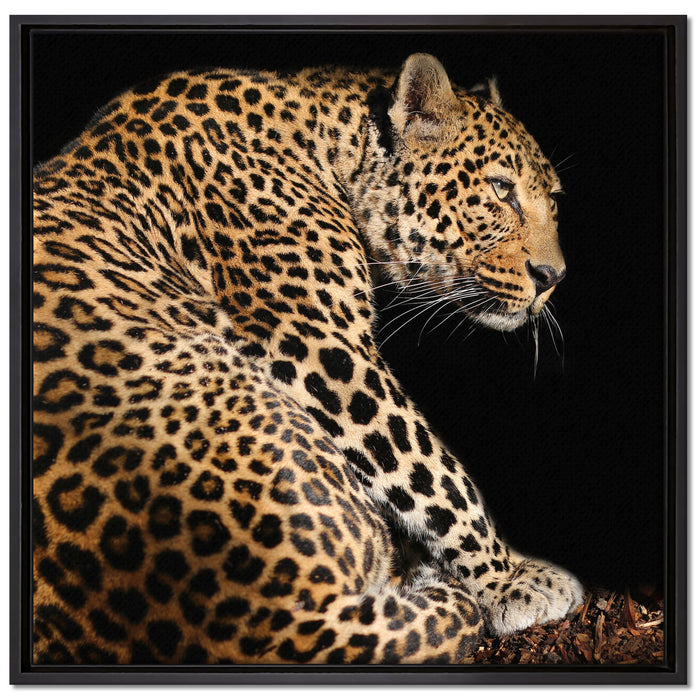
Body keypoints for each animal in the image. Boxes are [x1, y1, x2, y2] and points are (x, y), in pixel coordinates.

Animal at [32, 52, 583, 665]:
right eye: (500, 190)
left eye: (553, 200)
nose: (553, 277)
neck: (328, 142)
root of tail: (267, 622)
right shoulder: (317, 343)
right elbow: (430, 468)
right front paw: (510, 581)